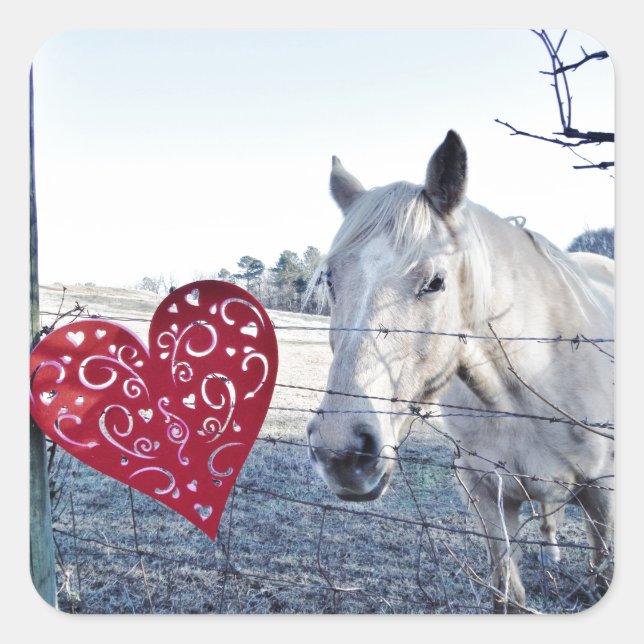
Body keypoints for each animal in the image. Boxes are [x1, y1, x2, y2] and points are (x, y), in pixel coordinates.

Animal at [305, 131, 614, 613]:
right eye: (331, 280)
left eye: (436, 283)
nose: (343, 455)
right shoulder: (487, 494)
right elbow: (508, 593)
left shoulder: (603, 494)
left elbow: (603, 573)